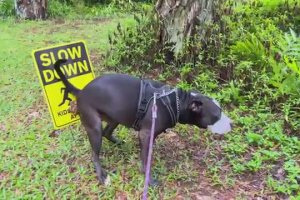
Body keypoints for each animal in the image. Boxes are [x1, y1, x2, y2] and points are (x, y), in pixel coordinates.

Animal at [54, 59, 223, 184]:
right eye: (218, 114)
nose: (227, 123)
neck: (176, 101)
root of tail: (81, 91)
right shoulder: (146, 134)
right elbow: (145, 160)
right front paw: (148, 178)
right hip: (94, 127)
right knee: (95, 154)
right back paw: (102, 176)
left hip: (115, 117)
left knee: (107, 132)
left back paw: (119, 143)